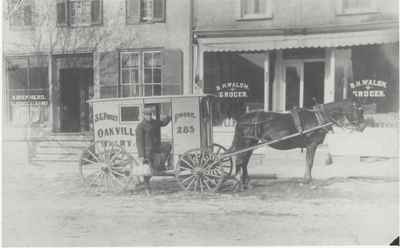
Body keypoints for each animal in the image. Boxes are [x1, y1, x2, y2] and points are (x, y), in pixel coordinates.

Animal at [230, 98, 368, 189]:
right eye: (359, 110)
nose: (363, 126)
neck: (318, 118)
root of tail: (242, 118)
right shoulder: (311, 145)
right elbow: (310, 162)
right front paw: (307, 180)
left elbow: (308, 162)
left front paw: (306, 179)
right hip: (247, 142)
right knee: (241, 160)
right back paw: (240, 182)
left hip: (251, 143)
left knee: (244, 161)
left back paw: (246, 183)